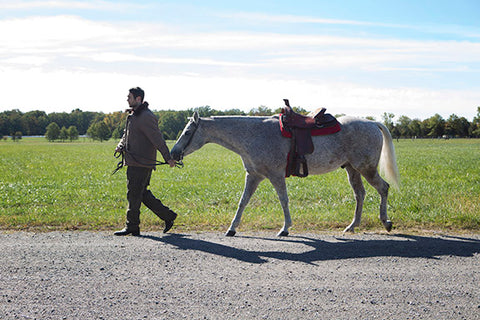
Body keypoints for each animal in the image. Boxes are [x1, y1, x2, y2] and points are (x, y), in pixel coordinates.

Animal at [171, 111, 400, 236]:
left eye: (188, 132)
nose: (173, 153)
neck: (254, 134)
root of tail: (372, 123)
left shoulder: (275, 175)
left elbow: (283, 200)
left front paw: (285, 228)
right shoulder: (253, 176)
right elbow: (243, 201)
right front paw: (232, 228)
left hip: (366, 168)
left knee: (383, 188)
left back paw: (386, 222)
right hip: (353, 169)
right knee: (359, 194)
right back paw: (352, 226)